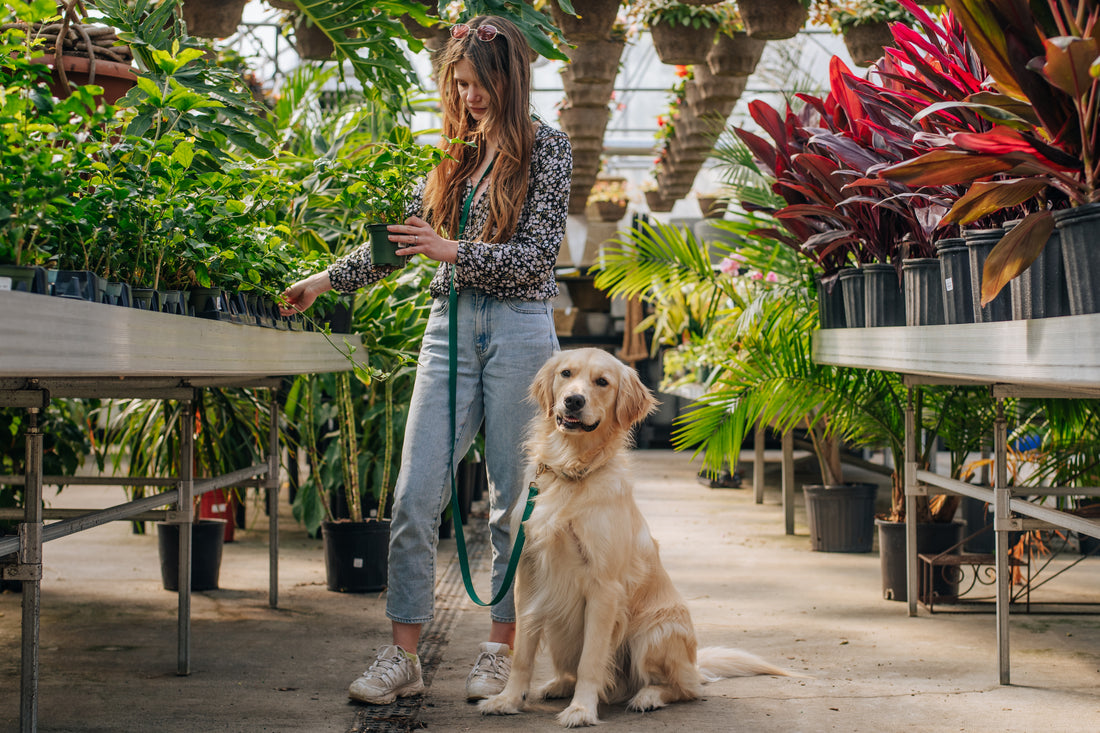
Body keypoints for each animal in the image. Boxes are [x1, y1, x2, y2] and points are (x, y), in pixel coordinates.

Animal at [479, 347, 792, 726]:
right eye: (566, 374)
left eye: (602, 382)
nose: (573, 401)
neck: (572, 470)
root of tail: (694, 664)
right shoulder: (529, 577)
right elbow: (523, 653)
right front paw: (508, 699)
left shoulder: (603, 588)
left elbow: (591, 661)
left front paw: (582, 709)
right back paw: (557, 685)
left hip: (654, 633)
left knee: (684, 687)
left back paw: (648, 696)